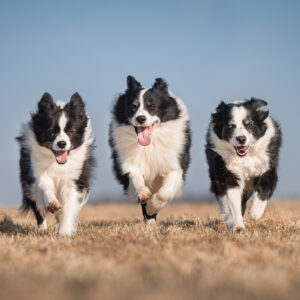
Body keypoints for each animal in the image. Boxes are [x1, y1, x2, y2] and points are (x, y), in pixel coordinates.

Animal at [16, 92, 94, 236]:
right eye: (52, 132)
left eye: (71, 132)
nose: (62, 143)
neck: (58, 163)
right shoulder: (36, 171)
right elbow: (46, 186)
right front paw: (52, 203)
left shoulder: (73, 179)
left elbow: (68, 205)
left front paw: (65, 232)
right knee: (38, 209)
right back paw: (42, 228)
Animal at [109, 76, 191, 223]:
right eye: (133, 107)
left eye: (152, 106)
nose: (141, 118)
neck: (149, 144)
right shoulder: (127, 162)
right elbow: (135, 177)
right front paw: (143, 194)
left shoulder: (175, 165)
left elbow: (165, 193)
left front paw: (152, 207)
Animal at [206, 98, 282, 230]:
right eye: (231, 126)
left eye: (249, 124)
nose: (241, 139)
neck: (245, 156)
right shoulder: (227, 172)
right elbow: (233, 201)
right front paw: (237, 226)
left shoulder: (268, 165)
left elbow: (265, 187)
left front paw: (256, 212)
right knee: (223, 198)